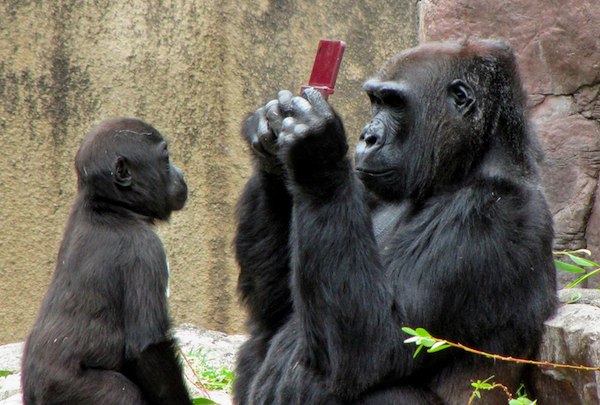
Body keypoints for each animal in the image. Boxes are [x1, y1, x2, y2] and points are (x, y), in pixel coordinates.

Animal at [22, 117, 191, 404]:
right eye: (166, 160)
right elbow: (148, 348)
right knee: (123, 394)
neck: (111, 206)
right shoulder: (146, 250)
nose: (180, 174)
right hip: (68, 388)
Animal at [232, 38, 556, 404]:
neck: (469, 164)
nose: (367, 137)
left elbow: (374, 345)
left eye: (395, 103)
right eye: (376, 102)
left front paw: (313, 148)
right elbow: (276, 310)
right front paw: (270, 143)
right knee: (262, 336)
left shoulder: (490, 214)